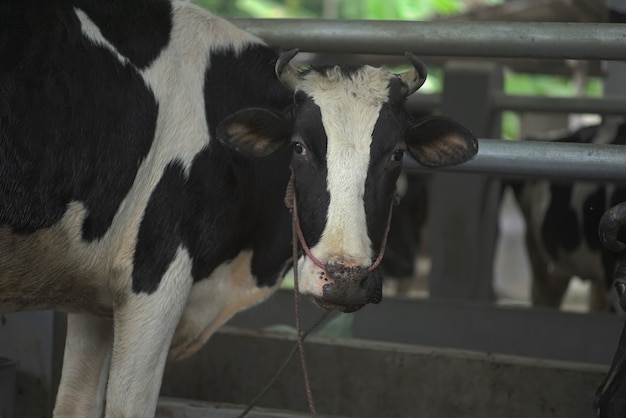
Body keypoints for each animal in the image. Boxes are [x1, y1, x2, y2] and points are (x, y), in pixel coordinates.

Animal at [0, 0, 476, 418]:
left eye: (396, 153)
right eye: (298, 147)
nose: (345, 277)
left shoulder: (95, 297)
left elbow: (74, 405)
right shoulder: (154, 279)